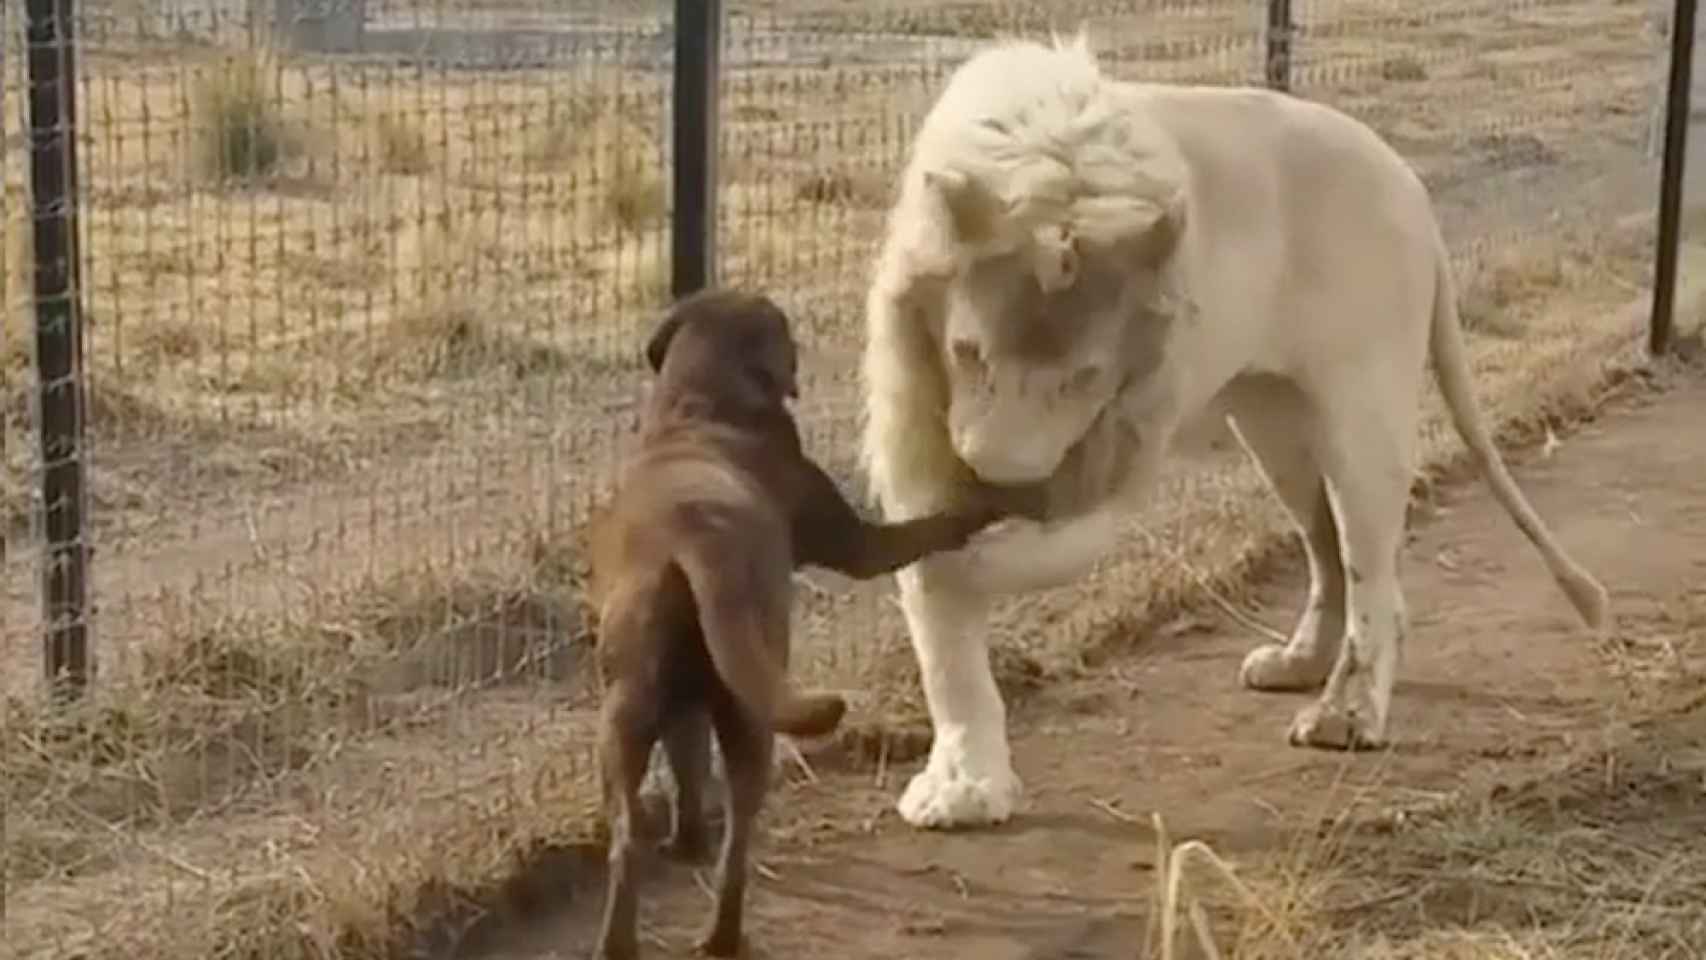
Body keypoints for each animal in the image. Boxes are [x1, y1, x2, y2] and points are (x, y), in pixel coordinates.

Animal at [586, 289, 1037, 954]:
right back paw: (724, 934)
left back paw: (622, 937)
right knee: (739, 833)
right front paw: (996, 497)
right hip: (752, 714)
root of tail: (695, 542)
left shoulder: (684, 705)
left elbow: (688, 767)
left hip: (629, 709)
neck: (703, 406)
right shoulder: (860, 544)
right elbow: (934, 524)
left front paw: (686, 841)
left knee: (628, 832)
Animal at [859, 35, 1603, 835]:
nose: (997, 478)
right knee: (1329, 552)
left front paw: (968, 563)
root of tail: (1409, 184)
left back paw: (1346, 715)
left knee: (1373, 575)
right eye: (968, 352)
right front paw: (964, 786)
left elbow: (1021, 556)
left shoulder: (1128, 434)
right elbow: (945, 644)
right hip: (1274, 427)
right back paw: (1299, 665)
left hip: (1362, 416)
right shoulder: (917, 426)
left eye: (1086, 376)